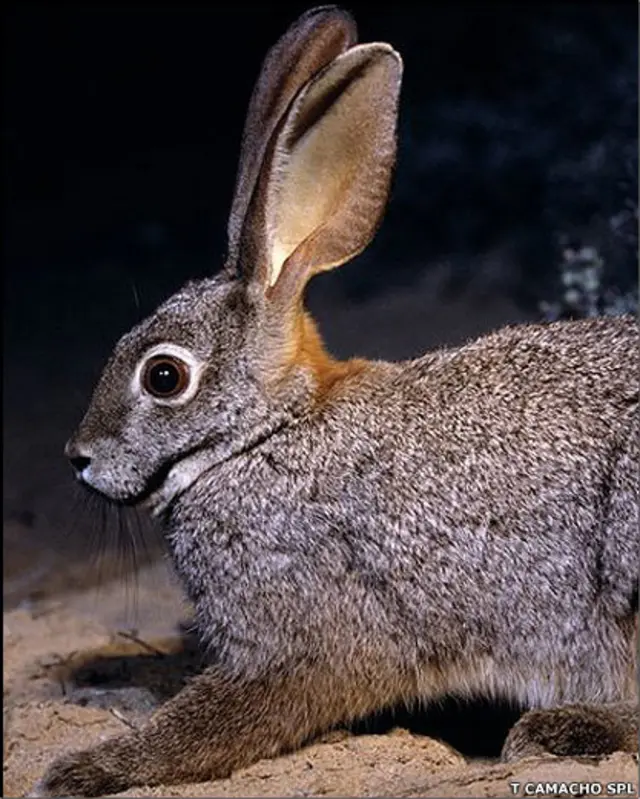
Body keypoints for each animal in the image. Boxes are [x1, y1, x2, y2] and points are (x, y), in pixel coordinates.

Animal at [33, 5, 638, 797]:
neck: (267, 436)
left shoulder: (298, 640)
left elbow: (206, 725)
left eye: (163, 377)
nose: (79, 457)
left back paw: (562, 728)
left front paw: (88, 766)